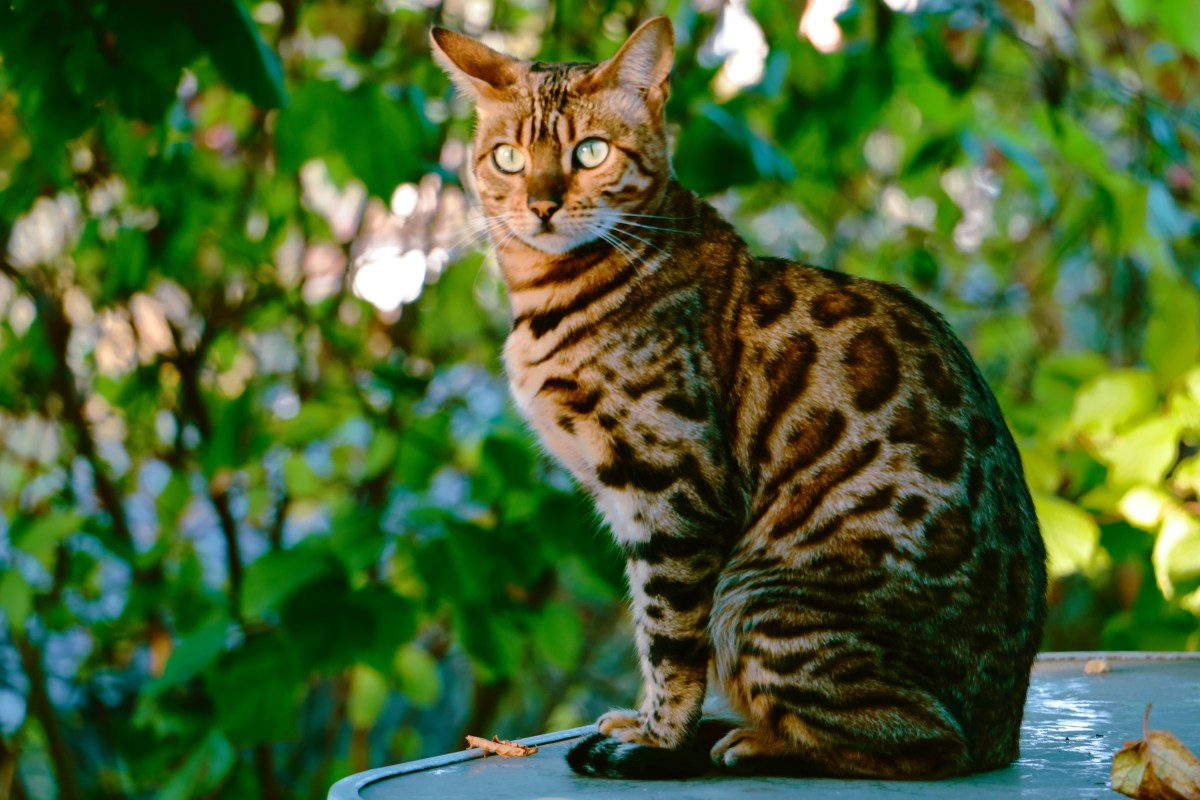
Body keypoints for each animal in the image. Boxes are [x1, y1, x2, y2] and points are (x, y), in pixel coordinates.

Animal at [429, 15, 1041, 777]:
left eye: (590, 152)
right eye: (508, 158)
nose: (540, 206)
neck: (548, 296)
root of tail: (1005, 731)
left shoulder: (675, 489)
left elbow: (667, 633)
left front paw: (659, 735)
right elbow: (646, 623)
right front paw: (649, 721)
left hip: (753, 596)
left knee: (925, 740)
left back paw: (747, 742)